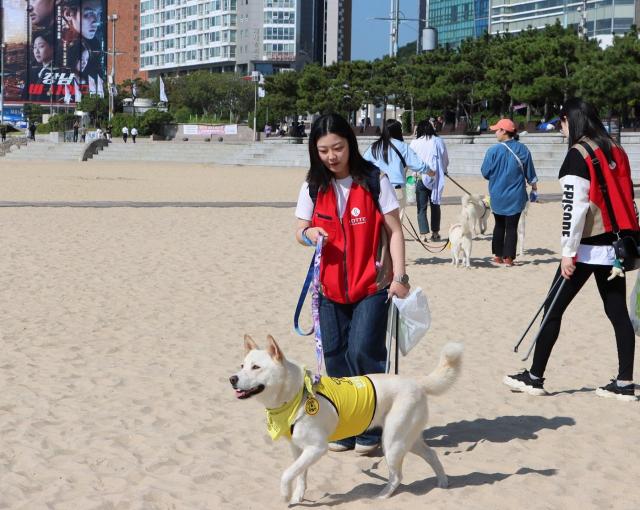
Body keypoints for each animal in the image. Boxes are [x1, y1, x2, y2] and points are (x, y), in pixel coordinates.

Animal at [230, 334, 464, 502]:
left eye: (256, 367)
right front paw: (297, 497)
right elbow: (300, 474)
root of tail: (417, 383)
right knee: (432, 454)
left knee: (398, 476)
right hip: (408, 439)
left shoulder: (317, 448)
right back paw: (443, 483)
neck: (297, 395)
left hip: (392, 442)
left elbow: (287, 473)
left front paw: (286, 495)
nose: (232, 379)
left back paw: (382, 496)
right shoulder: (298, 449)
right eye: (242, 366)